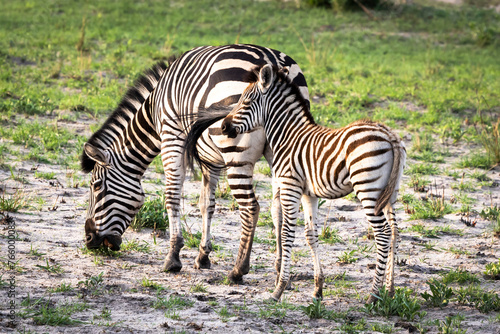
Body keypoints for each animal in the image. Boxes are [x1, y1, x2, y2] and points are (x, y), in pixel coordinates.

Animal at [80, 43, 308, 280]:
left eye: (96, 186)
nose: (88, 240)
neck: (153, 110)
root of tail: (271, 61)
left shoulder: (172, 138)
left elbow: (172, 196)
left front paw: (173, 257)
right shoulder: (211, 159)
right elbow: (206, 204)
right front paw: (203, 256)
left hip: (236, 153)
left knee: (251, 207)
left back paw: (238, 270)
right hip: (283, 149)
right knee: (280, 208)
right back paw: (280, 267)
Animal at [206, 64, 406, 302]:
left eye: (245, 102)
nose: (223, 127)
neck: (288, 136)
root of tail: (390, 134)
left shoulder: (290, 187)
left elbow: (287, 234)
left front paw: (279, 289)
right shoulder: (308, 194)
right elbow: (310, 235)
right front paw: (318, 289)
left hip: (368, 189)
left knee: (382, 233)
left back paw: (373, 296)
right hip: (389, 192)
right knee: (394, 231)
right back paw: (390, 291)